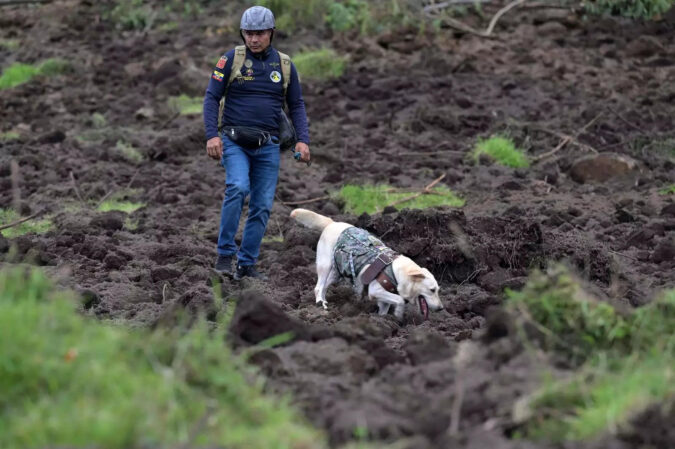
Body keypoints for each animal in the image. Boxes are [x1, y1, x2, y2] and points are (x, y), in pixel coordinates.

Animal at [290, 207, 444, 318]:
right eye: (432, 290)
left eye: (438, 290)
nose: (441, 308)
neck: (397, 272)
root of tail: (332, 223)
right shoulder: (375, 290)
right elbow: (399, 300)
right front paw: (398, 314)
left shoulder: (384, 298)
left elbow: (385, 308)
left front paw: (383, 320)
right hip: (325, 264)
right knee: (318, 287)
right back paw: (320, 305)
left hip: (336, 273)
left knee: (324, 286)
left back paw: (325, 302)